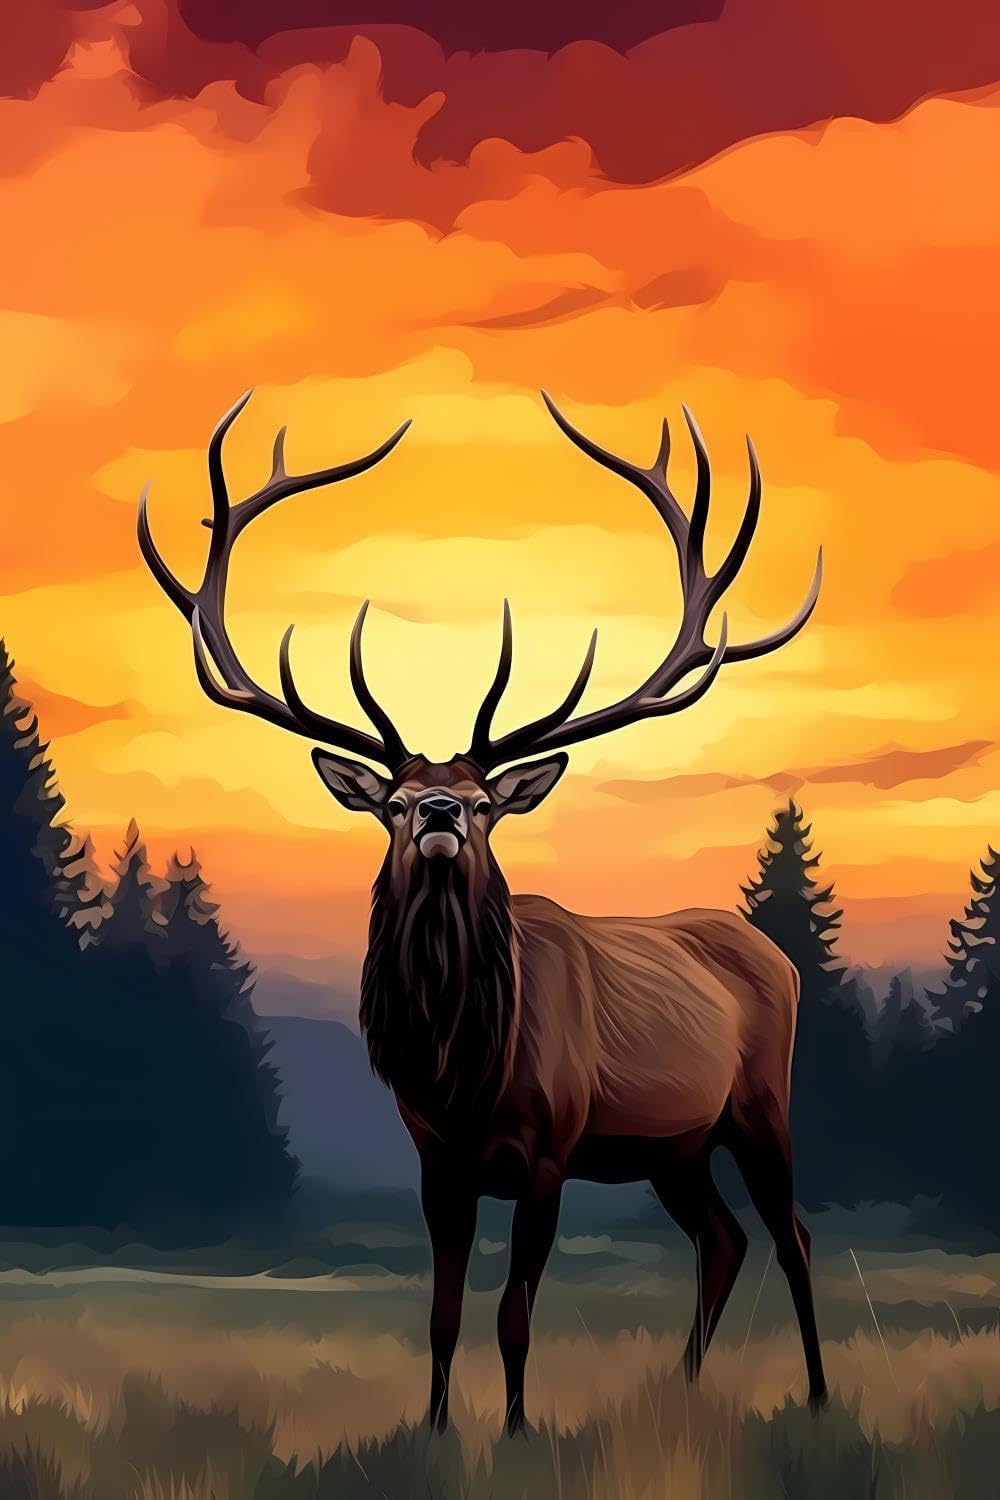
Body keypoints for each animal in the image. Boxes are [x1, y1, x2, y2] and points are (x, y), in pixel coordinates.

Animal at [138, 387, 828, 1435]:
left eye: (485, 798)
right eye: (391, 799)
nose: (436, 812)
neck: (466, 1066)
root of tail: (773, 952)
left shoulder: (550, 1149)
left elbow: (513, 1315)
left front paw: (512, 1430)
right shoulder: (438, 1159)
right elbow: (443, 1313)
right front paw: (431, 1428)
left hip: (761, 1105)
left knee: (790, 1237)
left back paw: (822, 1396)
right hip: (673, 1147)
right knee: (723, 1241)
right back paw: (678, 1388)